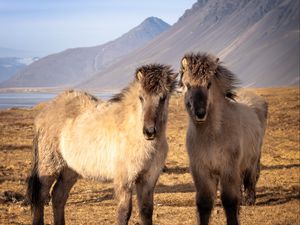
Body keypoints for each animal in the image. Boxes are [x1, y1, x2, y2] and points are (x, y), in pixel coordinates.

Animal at [27, 63, 177, 225]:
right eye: (141, 97)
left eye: (163, 98)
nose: (149, 131)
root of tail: (45, 112)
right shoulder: (124, 180)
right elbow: (124, 212)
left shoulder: (149, 179)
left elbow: (146, 212)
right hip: (49, 166)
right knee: (40, 196)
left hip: (70, 170)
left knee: (58, 196)